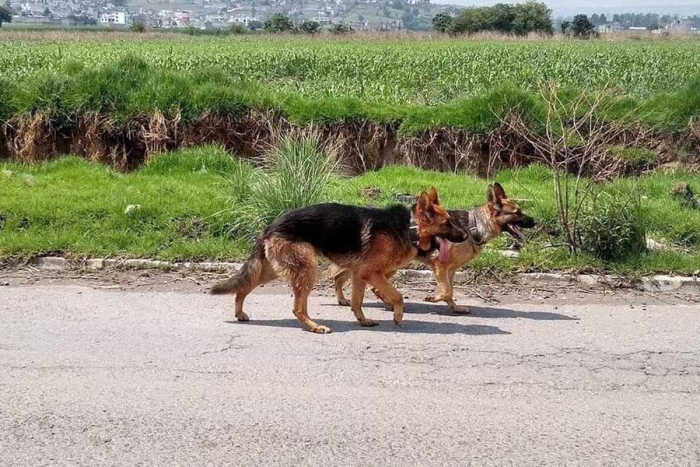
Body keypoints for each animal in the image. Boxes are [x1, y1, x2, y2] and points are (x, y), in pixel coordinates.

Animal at [211, 188, 468, 334]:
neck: (409, 228)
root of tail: (271, 225)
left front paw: (363, 321)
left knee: (243, 287)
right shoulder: (372, 274)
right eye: (447, 223)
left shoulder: (360, 275)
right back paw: (314, 327)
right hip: (307, 269)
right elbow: (397, 296)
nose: (466, 236)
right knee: (297, 308)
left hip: (273, 270)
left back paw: (240, 312)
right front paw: (397, 317)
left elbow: (357, 302)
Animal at [334, 183, 536, 314]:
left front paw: (454, 307)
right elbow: (446, 291)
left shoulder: (450, 270)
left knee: (349, 279)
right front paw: (434, 298)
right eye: (517, 212)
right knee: (358, 282)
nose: (536, 221)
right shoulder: (440, 266)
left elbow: (450, 291)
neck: (474, 226)